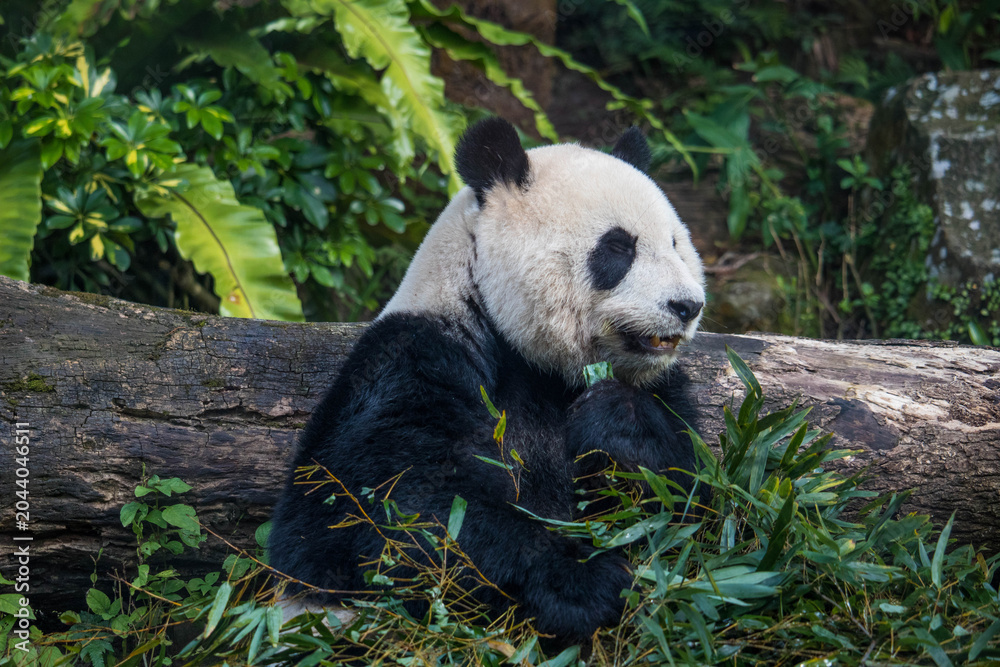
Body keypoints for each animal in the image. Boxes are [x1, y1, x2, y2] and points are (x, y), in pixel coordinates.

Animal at [268, 118, 706, 641]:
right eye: (619, 246)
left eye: (676, 243)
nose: (686, 306)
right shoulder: (413, 361)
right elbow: (392, 512)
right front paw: (583, 580)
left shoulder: (662, 387)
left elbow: (695, 500)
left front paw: (614, 420)